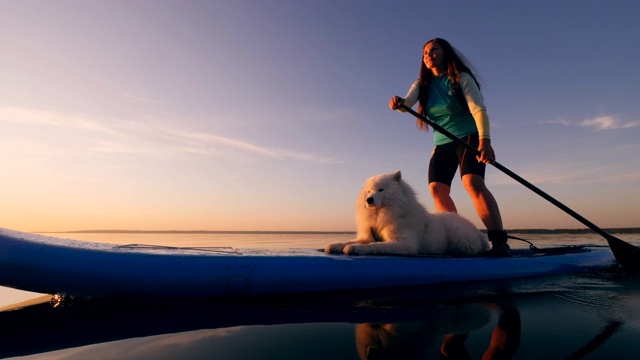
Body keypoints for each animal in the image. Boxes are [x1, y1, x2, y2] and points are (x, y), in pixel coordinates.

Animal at [328, 171, 488, 256]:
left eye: (381, 189)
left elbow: (375, 245)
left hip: (458, 233)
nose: (369, 199)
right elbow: (350, 241)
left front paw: (355, 249)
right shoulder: (366, 236)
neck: (382, 214)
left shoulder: (405, 243)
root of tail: (478, 232)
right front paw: (336, 245)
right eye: (368, 191)